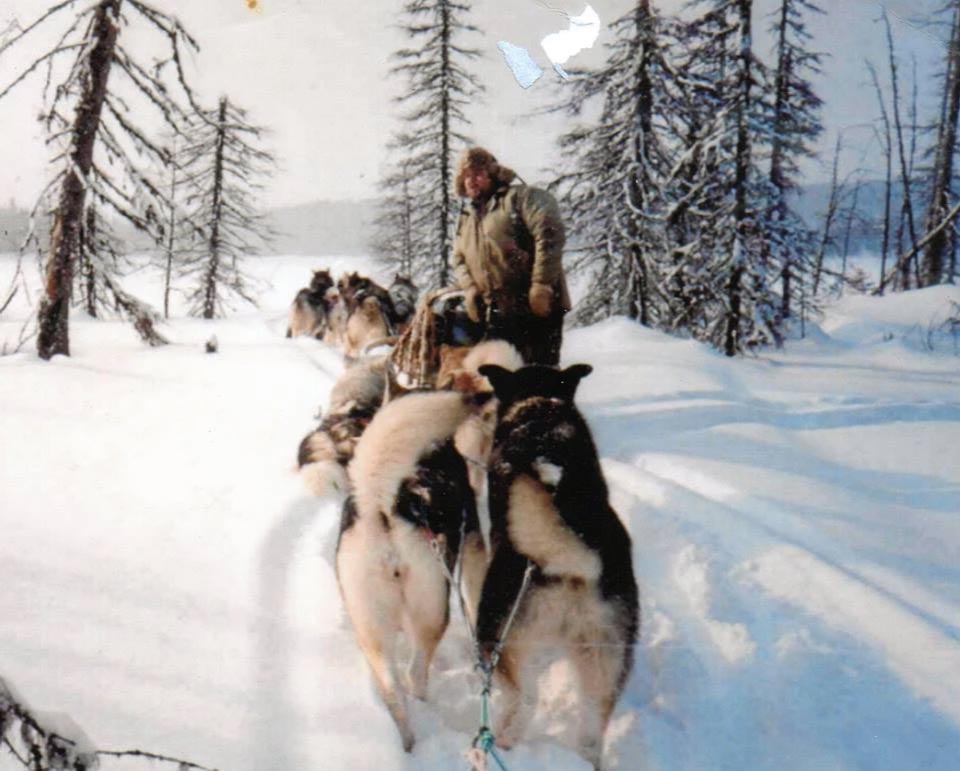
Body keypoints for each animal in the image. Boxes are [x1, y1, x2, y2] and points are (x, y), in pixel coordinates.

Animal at [336, 390, 488, 752]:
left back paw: (406, 739)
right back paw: (423, 705)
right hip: (434, 612)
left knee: (392, 688)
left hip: (370, 624)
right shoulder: (474, 545)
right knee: (415, 673)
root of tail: (385, 507)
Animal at [476, 364, 640, 771]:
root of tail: (575, 566)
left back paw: (502, 741)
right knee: (591, 733)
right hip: (605, 663)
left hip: (499, 637)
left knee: (524, 700)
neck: (540, 408)